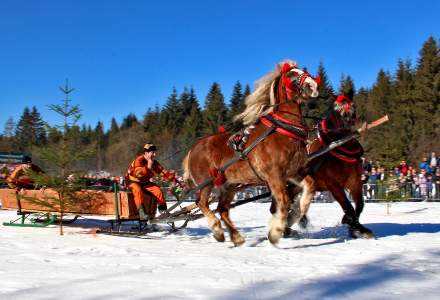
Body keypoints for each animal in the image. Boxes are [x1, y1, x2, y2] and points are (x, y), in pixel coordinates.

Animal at [182, 60, 320, 246]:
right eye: (291, 75)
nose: (313, 85)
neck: (283, 130)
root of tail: (193, 148)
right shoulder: (274, 175)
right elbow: (283, 201)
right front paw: (276, 231)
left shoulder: (293, 173)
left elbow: (308, 189)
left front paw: (293, 218)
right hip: (206, 183)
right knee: (201, 203)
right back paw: (217, 230)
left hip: (229, 185)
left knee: (222, 209)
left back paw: (236, 237)